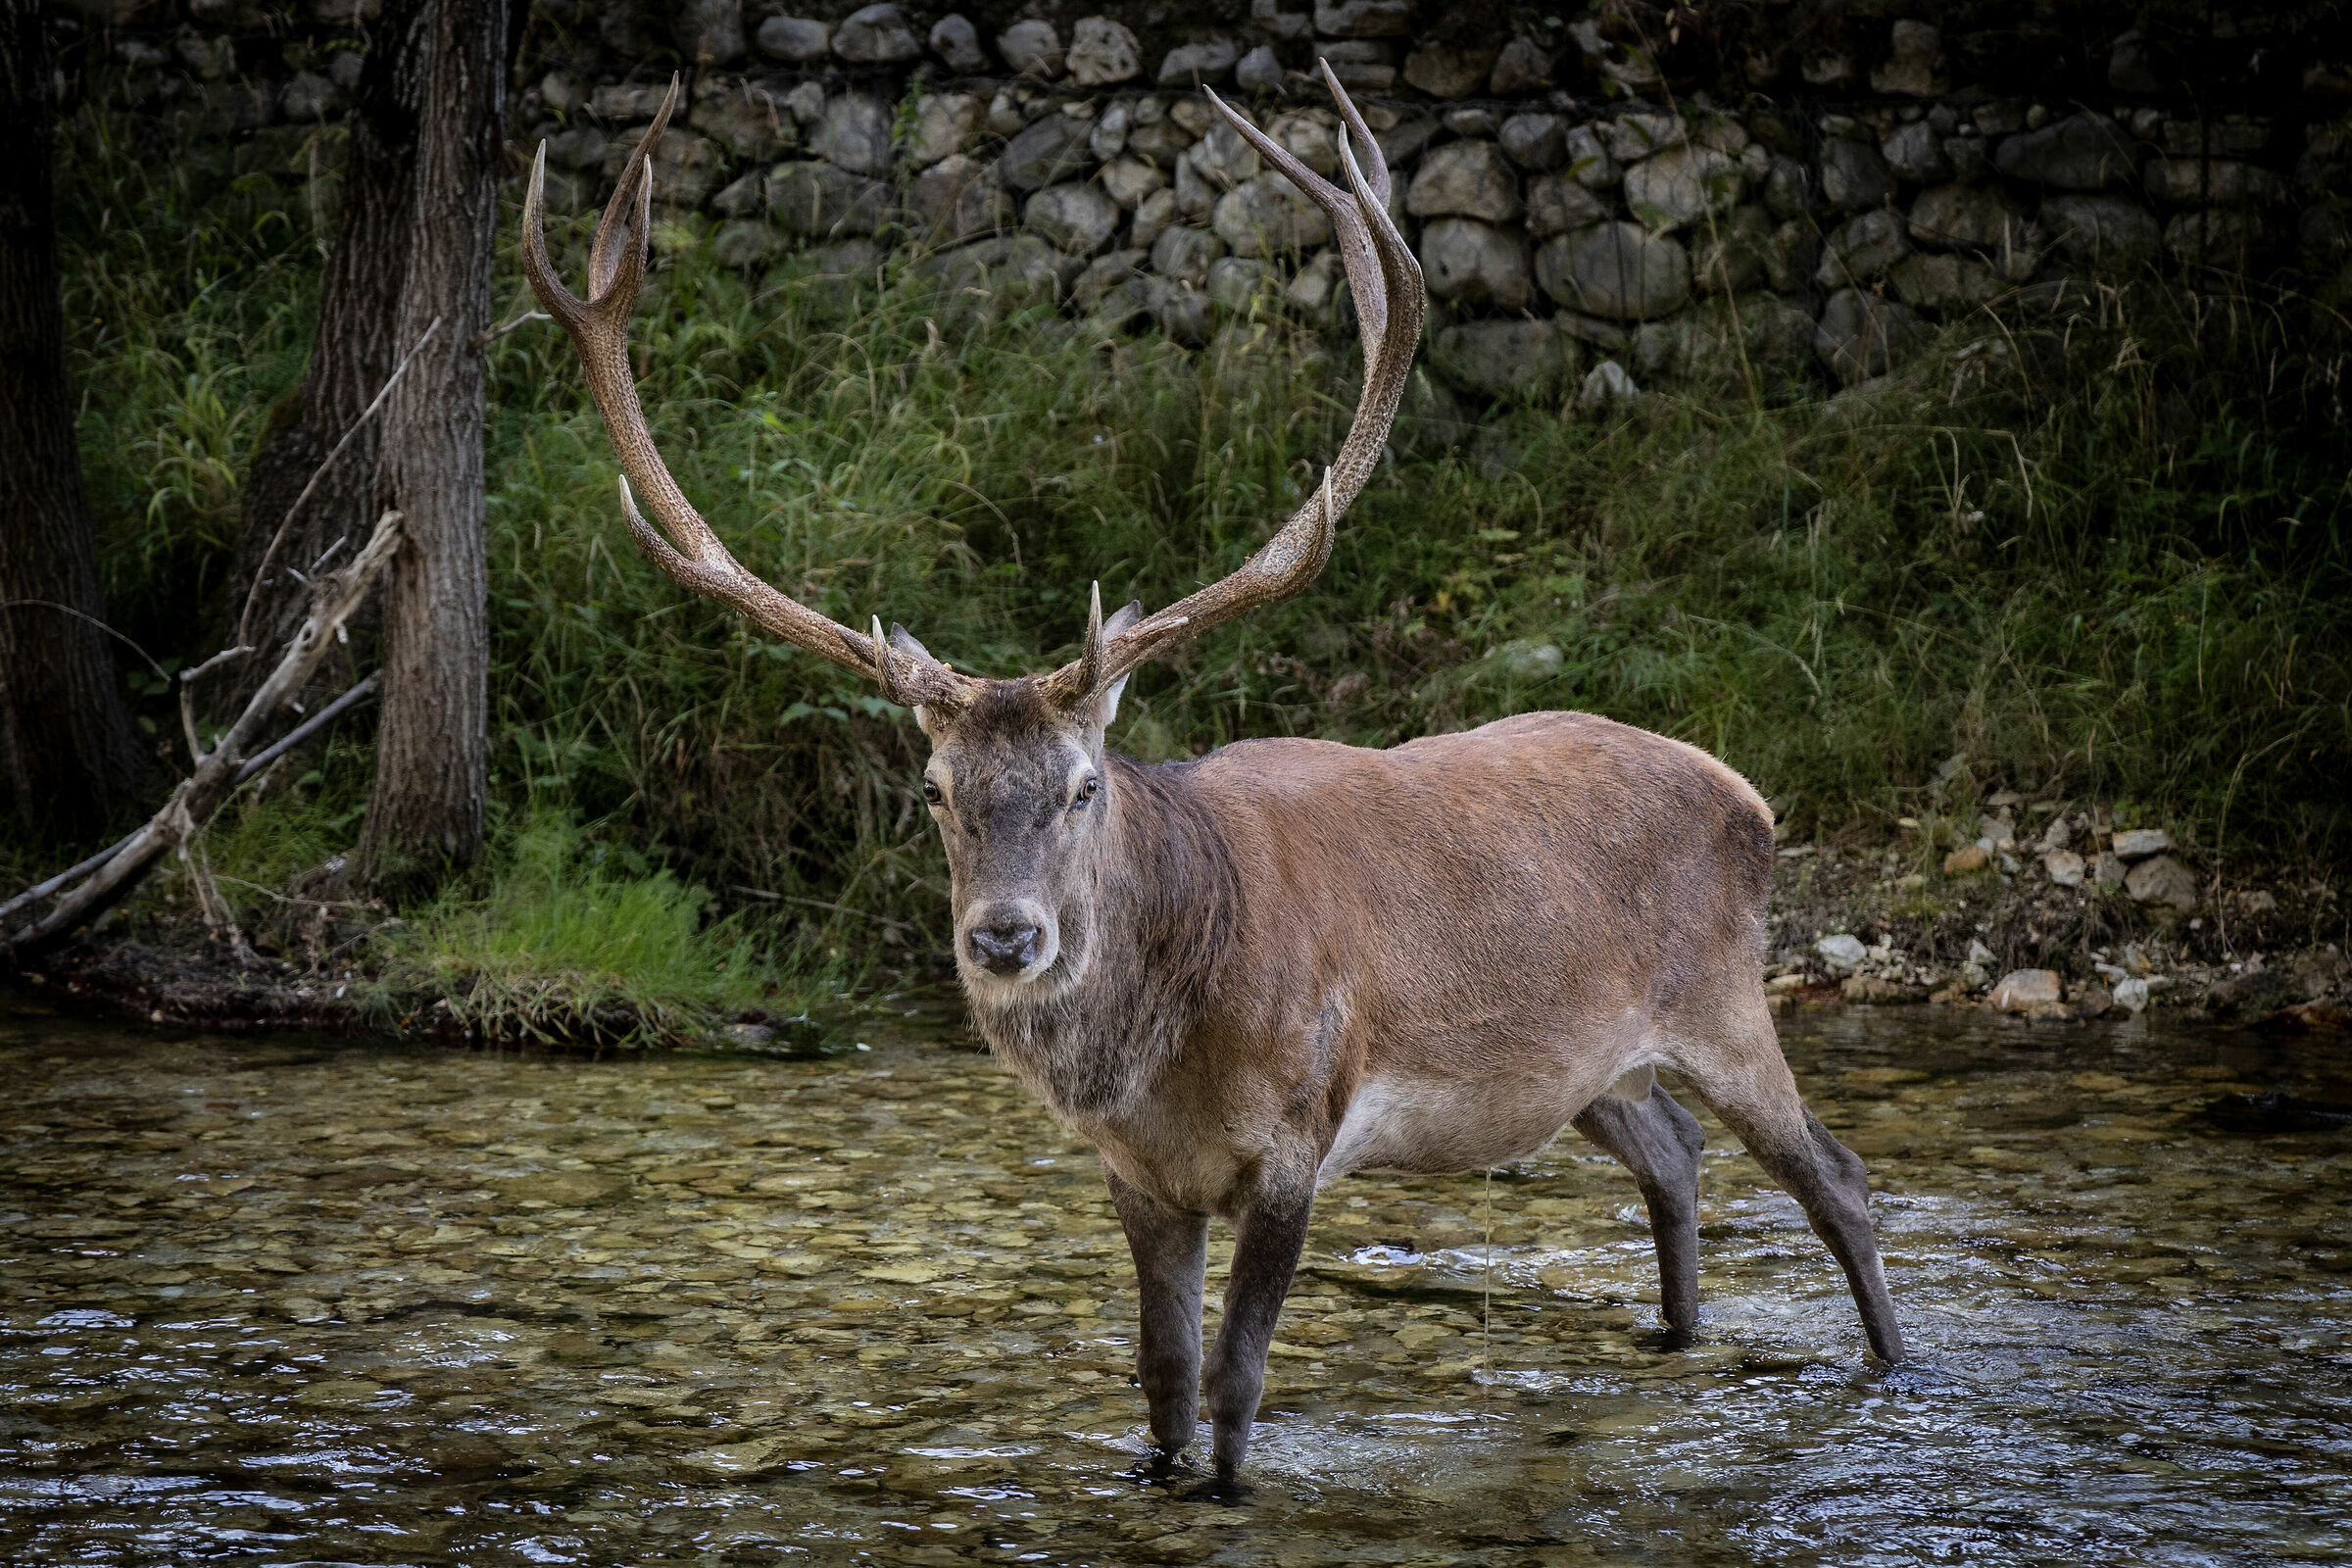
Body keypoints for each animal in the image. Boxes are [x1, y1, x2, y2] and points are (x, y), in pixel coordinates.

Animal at [520, 67, 1906, 1479]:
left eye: (1085, 783)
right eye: (937, 792)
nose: (1004, 936)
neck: (1161, 1058)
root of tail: (1751, 795)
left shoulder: (1299, 1136)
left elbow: (1238, 1386)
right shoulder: (1136, 1174)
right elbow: (1165, 1381)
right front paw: (1160, 1471)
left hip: (1727, 995)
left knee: (1838, 1177)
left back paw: (1892, 1368)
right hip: (1585, 1066)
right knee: (1672, 1153)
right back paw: (1676, 1340)